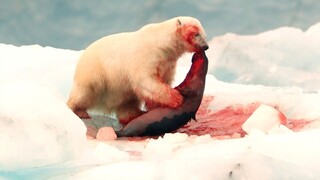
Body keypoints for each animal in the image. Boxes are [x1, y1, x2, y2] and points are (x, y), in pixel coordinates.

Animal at [67, 16, 208, 124]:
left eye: (204, 35)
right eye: (196, 34)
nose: (205, 46)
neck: (163, 44)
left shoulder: (167, 63)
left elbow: (162, 80)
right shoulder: (147, 55)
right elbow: (146, 80)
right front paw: (177, 98)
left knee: (127, 101)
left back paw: (135, 114)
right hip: (95, 73)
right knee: (85, 92)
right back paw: (78, 111)